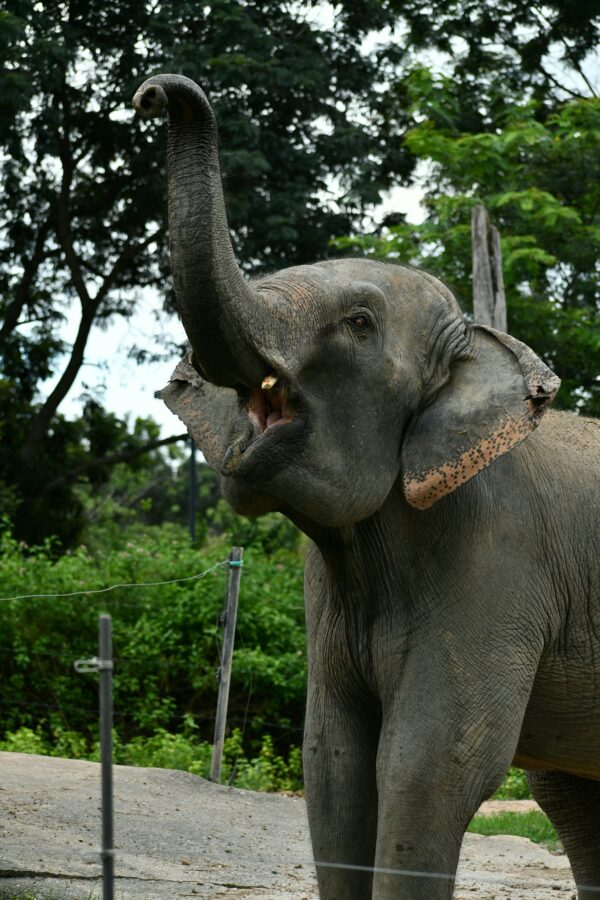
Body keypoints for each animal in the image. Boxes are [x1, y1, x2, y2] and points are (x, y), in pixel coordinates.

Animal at [134, 74, 600, 896]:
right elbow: (335, 765)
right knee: (572, 797)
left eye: (357, 323)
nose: (152, 92)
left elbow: (430, 763)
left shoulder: (497, 562)